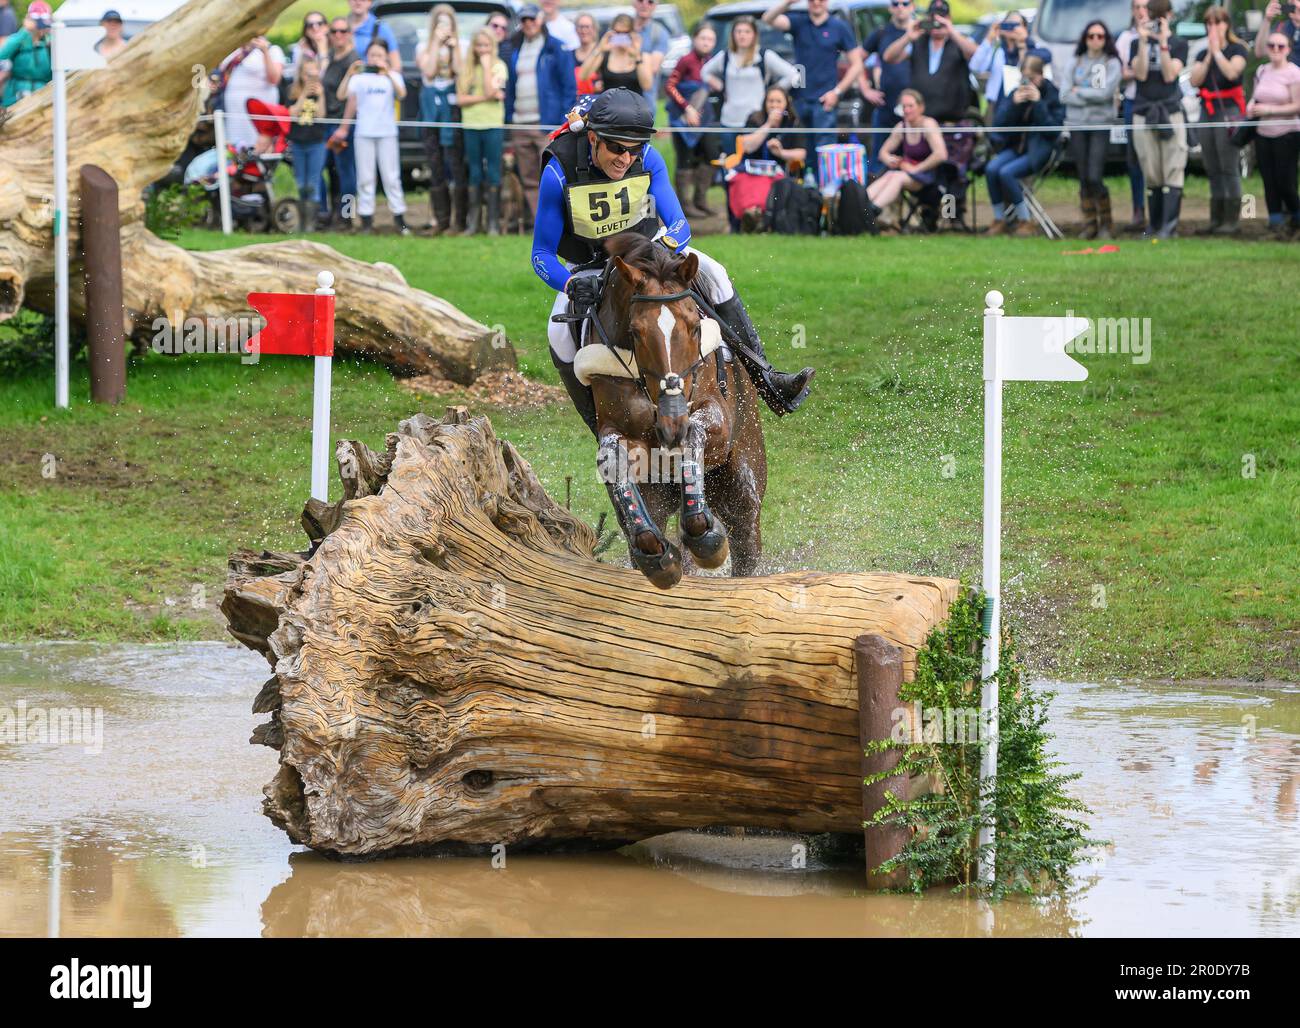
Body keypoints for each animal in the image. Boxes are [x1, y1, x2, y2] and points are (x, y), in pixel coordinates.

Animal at [574, 232, 764, 587]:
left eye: (694, 327)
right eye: (635, 332)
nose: (671, 423)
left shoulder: (717, 420)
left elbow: (694, 434)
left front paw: (705, 537)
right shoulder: (626, 435)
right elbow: (614, 460)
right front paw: (655, 554)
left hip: (742, 476)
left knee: (746, 541)